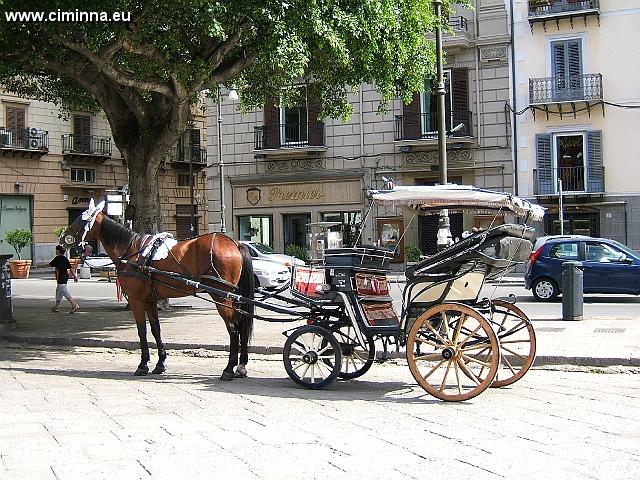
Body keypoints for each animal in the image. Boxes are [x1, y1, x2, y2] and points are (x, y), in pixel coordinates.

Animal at [62, 203, 252, 382]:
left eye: (80, 218)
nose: (63, 237)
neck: (131, 251)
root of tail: (235, 243)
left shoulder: (136, 300)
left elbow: (142, 330)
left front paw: (143, 364)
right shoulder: (150, 300)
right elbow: (156, 329)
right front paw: (160, 363)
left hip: (221, 297)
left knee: (233, 328)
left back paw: (229, 369)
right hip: (233, 298)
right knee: (242, 325)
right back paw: (241, 366)